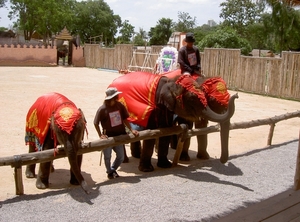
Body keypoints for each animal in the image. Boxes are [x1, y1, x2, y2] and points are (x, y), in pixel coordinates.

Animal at [109, 69, 238, 172]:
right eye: (192, 99)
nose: (236, 95)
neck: (170, 83)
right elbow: (154, 131)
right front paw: (148, 170)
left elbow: (168, 130)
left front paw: (166, 165)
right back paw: (126, 160)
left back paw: (138, 155)